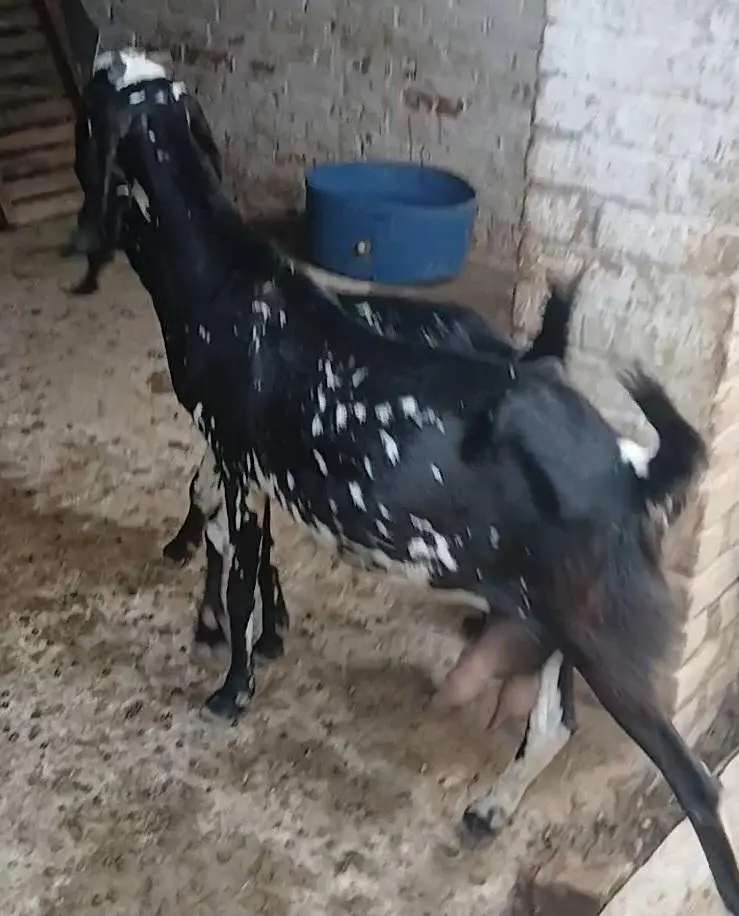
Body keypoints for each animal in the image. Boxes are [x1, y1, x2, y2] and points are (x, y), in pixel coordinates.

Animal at [69, 52, 739, 914]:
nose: (100, 55)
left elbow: (241, 565)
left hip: (603, 630)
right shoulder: (243, 466)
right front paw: (239, 635)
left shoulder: (236, 456)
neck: (225, 283)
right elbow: (228, 539)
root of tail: (634, 466)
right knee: (554, 724)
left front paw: (231, 686)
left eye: (99, 89)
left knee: (693, 782)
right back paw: (488, 810)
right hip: (556, 614)